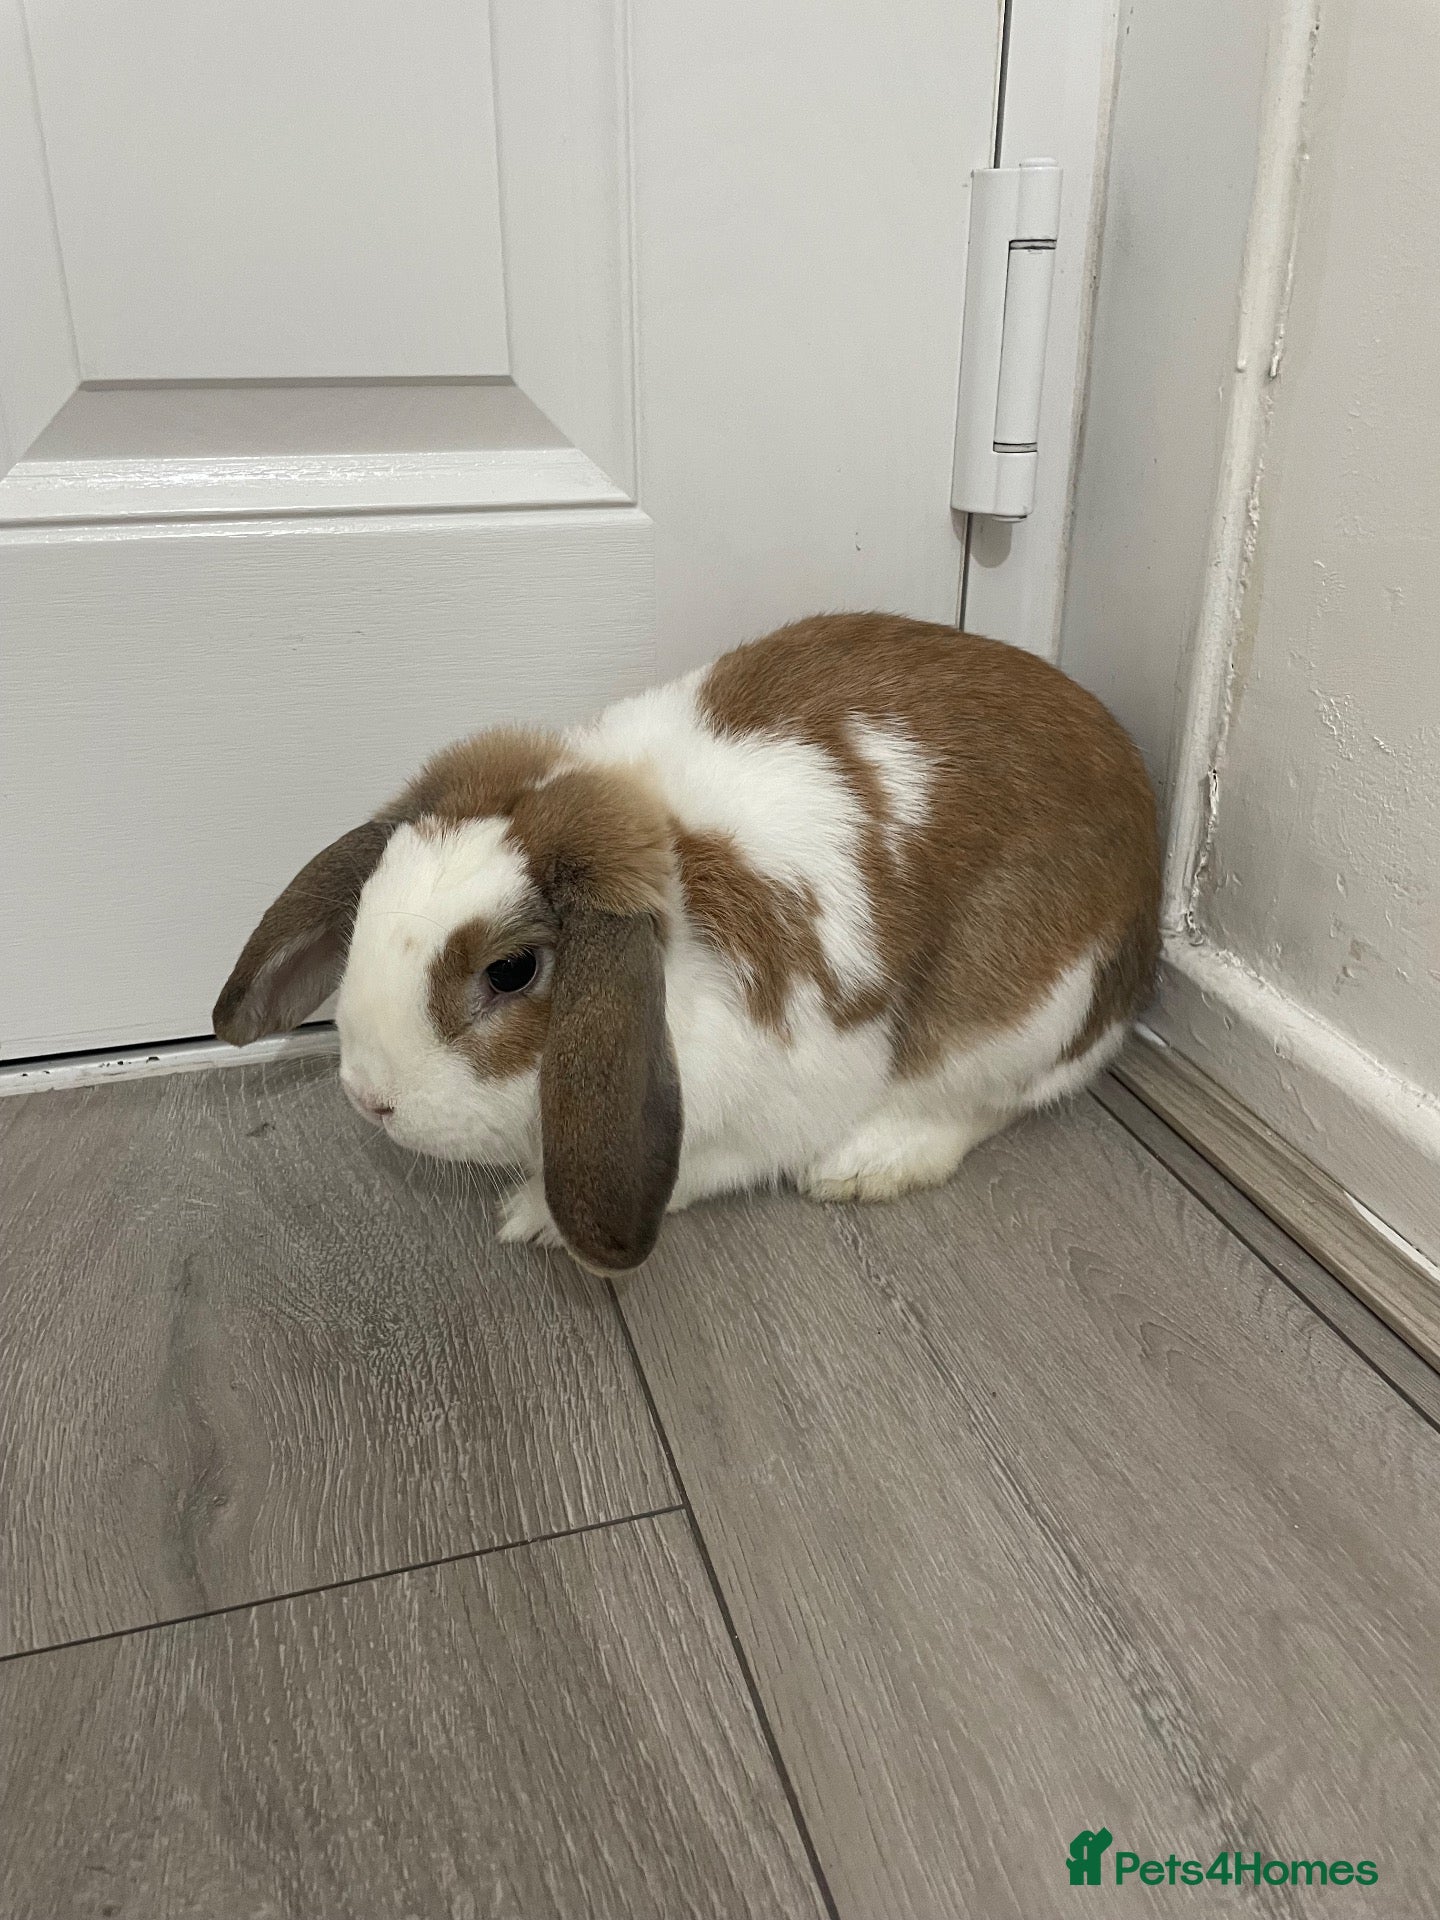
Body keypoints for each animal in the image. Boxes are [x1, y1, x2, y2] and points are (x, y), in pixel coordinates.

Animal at [214, 612, 1160, 1272]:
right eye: (367, 903)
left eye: (511, 971)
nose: (368, 1097)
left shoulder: (773, 1106)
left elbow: (708, 1165)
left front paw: (537, 1217)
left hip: (1020, 1018)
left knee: (988, 1101)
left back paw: (866, 1164)